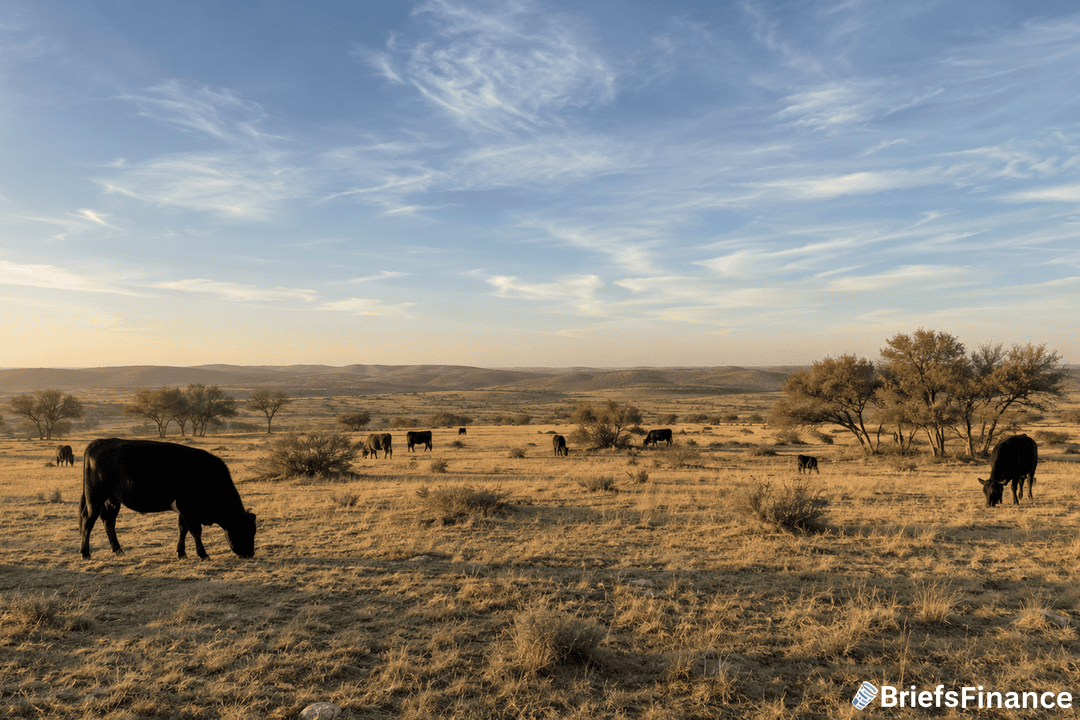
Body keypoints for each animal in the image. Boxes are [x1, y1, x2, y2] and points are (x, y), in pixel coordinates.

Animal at [79, 438, 256, 560]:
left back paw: (118, 551)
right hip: (95, 498)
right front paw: (203, 554)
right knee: (88, 521)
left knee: (108, 522)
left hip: (112, 500)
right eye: (247, 532)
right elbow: (196, 531)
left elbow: (182, 529)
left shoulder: (183, 510)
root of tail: (98, 442)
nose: (250, 554)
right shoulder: (188, 509)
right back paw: (85, 553)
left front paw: (181, 553)